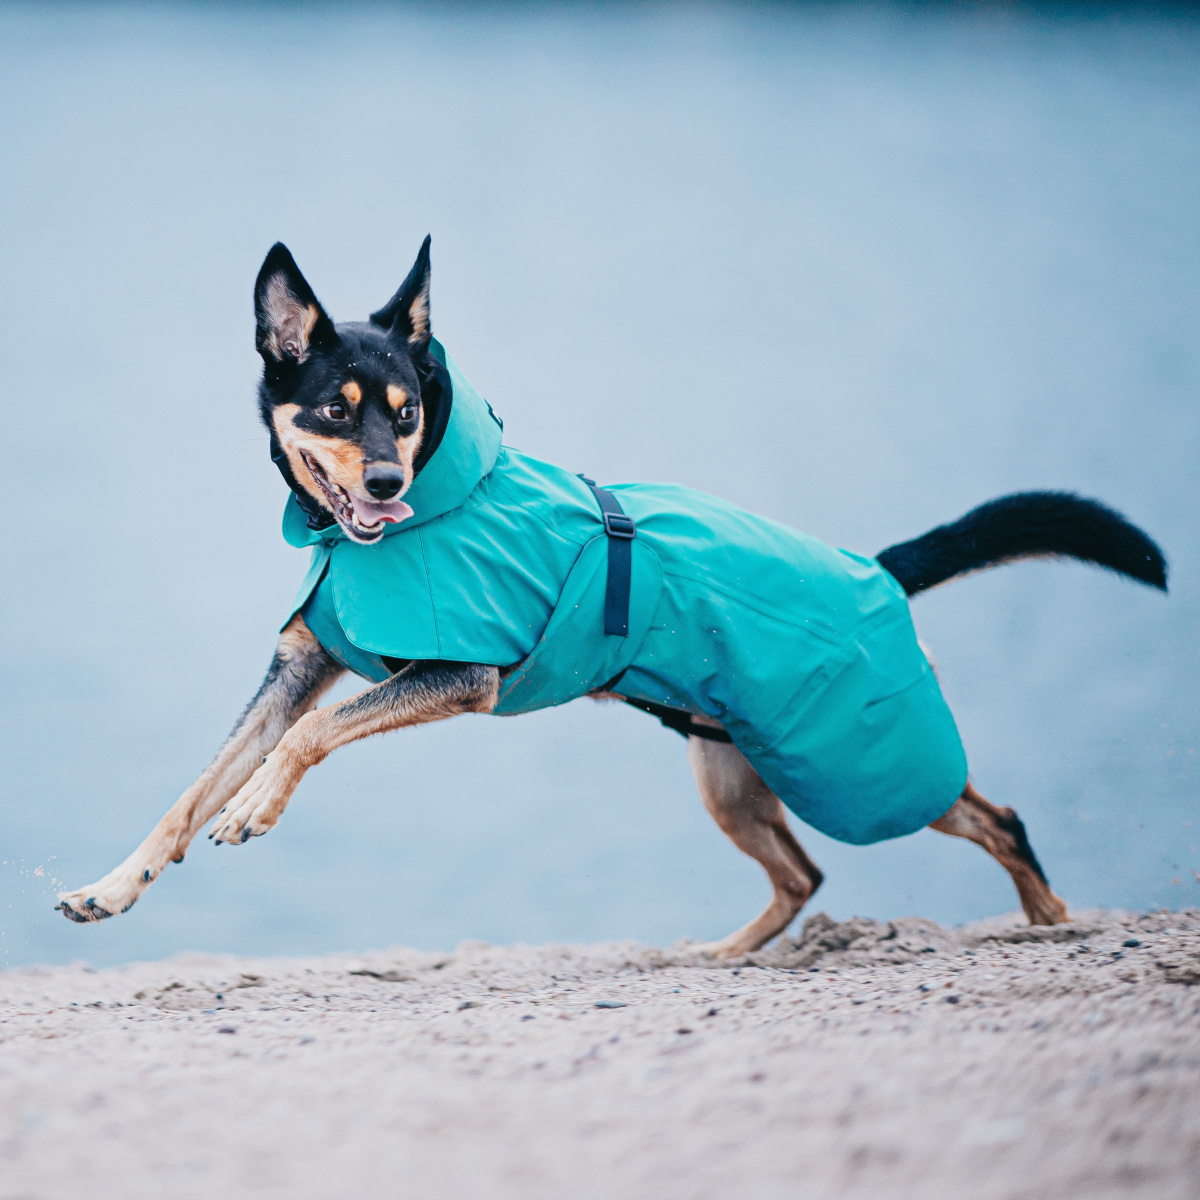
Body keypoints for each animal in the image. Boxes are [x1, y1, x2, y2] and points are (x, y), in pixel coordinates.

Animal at [54, 238, 1161, 960]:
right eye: (336, 410)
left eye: (405, 416)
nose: (387, 484)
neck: (389, 531)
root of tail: (877, 566)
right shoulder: (296, 669)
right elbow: (190, 791)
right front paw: (111, 887)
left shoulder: (458, 674)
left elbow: (308, 738)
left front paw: (256, 807)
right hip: (737, 768)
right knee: (806, 875)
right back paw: (725, 955)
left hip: (858, 760)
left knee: (996, 817)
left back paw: (1051, 926)